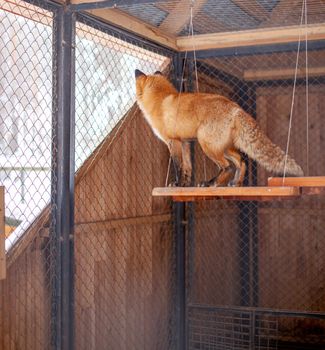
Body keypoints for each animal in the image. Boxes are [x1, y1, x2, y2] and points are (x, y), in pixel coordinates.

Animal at [134, 69, 302, 187]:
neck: (160, 101)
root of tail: (235, 107)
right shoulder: (185, 142)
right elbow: (187, 168)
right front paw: (184, 185)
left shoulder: (173, 141)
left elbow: (178, 166)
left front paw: (176, 184)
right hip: (222, 147)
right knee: (241, 161)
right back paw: (236, 183)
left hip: (206, 144)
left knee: (227, 167)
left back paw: (210, 183)